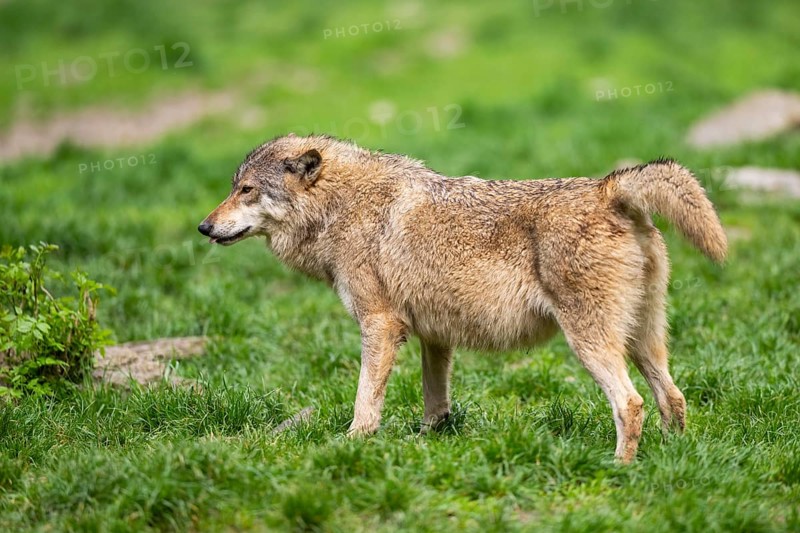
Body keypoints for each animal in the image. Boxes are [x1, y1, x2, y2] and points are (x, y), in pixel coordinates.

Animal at [198, 134, 727, 462]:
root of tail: (607, 188)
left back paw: (617, 468)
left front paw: (352, 444)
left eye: (246, 190)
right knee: (673, 397)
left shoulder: (380, 325)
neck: (340, 209)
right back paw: (671, 460)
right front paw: (427, 442)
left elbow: (365, 402)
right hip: (643, 341)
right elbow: (436, 405)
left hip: (590, 343)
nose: (203, 227)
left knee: (631, 403)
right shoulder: (435, 336)